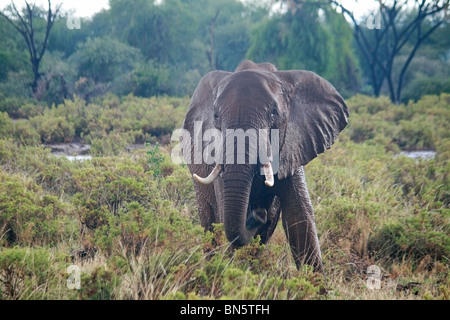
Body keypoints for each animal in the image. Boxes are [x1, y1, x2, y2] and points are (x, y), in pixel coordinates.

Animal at [180, 60, 348, 272]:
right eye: (216, 116)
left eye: (274, 113)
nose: (258, 214)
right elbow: (225, 217)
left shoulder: (291, 146)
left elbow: (299, 217)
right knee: (210, 225)